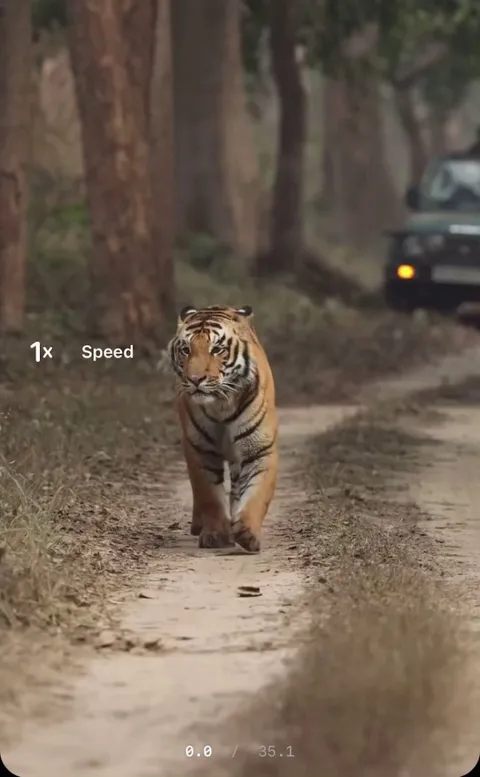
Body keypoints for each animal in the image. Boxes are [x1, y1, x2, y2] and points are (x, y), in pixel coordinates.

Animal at [167, 304, 278, 553]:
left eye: (217, 349)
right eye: (186, 350)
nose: (195, 379)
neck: (221, 405)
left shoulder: (259, 449)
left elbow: (256, 493)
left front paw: (247, 532)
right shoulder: (200, 450)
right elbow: (209, 495)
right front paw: (216, 534)